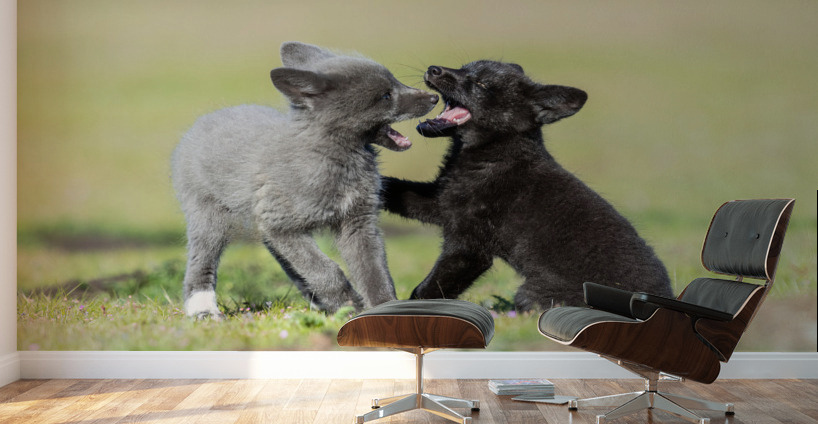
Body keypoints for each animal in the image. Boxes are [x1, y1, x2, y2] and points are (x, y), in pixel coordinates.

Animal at [171, 42, 438, 318]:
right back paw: (202, 310)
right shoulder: (282, 225)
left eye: (395, 81)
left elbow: (374, 272)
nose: (434, 97)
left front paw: (383, 310)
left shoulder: (357, 223)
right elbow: (325, 270)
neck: (336, 161)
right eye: (385, 96)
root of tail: (205, 120)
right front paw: (349, 303)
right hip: (211, 218)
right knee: (200, 261)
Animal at [382, 60, 672, 311]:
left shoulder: (469, 248)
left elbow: (429, 289)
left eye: (482, 84)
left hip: (530, 293)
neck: (495, 153)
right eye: (465, 68)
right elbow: (396, 189)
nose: (433, 68)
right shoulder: (443, 204)